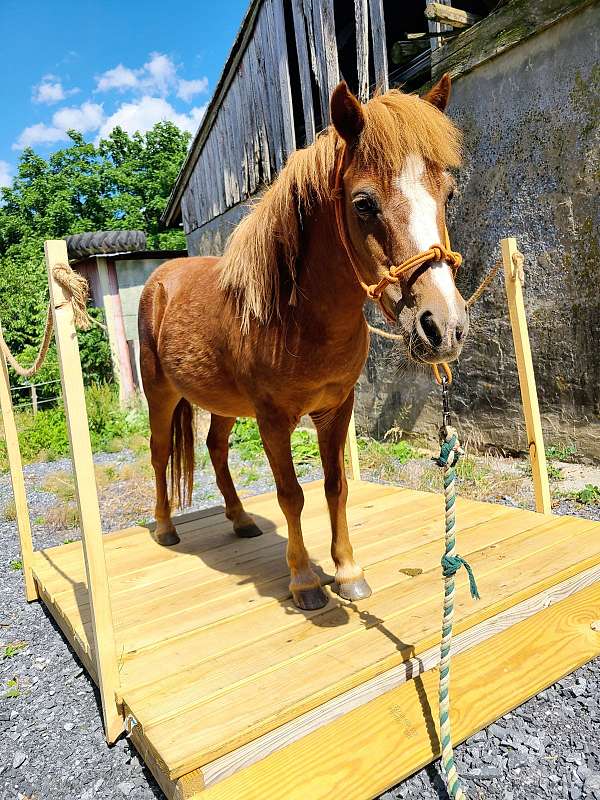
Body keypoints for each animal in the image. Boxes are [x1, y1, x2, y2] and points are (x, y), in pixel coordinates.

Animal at [138, 76, 466, 612]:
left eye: (449, 194)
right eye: (363, 203)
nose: (444, 327)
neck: (298, 320)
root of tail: (161, 279)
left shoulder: (336, 408)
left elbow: (336, 487)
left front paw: (348, 571)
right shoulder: (273, 418)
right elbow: (291, 493)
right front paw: (305, 581)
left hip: (224, 404)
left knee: (215, 448)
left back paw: (241, 519)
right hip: (161, 395)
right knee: (160, 451)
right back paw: (166, 528)